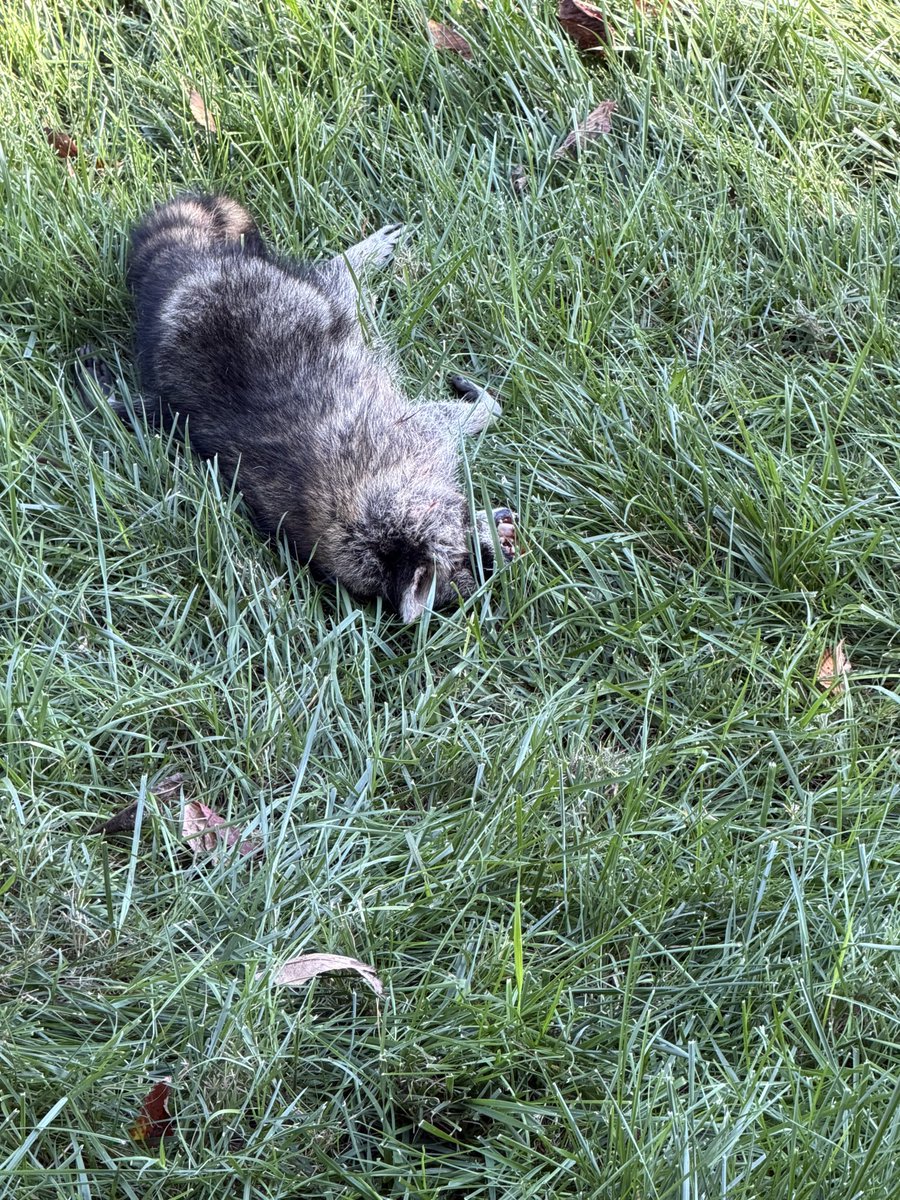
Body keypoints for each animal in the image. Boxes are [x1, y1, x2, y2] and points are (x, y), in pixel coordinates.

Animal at [96, 193, 515, 622]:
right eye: (472, 564)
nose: (508, 549)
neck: (378, 536)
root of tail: (184, 274)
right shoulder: (404, 440)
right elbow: (440, 420)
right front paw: (482, 410)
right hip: (284, 294)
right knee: (338, 291)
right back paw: (355, 261)